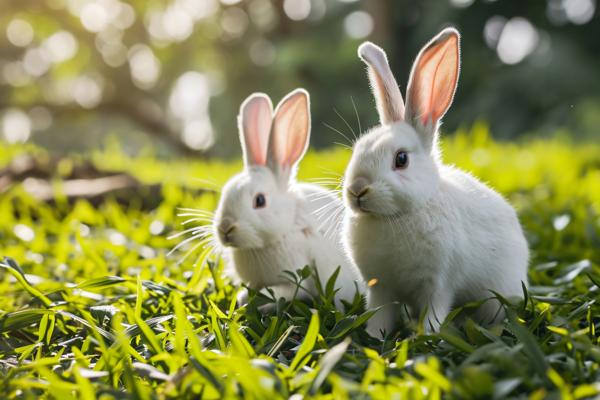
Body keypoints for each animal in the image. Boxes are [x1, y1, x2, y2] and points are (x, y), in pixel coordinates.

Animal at [216, 89, 366, 308]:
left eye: (259, 201)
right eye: (225, 193)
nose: (225, 227)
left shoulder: (297, 278)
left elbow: (283, 291)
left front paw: (253, 301)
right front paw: (243, 298)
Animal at [342, 27, 528, 334]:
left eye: (401, 159)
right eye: (358, 149)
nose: (357, 189)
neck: (395, 217)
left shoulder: (438, 284)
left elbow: (435, 310)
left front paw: (426, 335)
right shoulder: (380, 289)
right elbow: (380, 314)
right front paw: (373, 335)